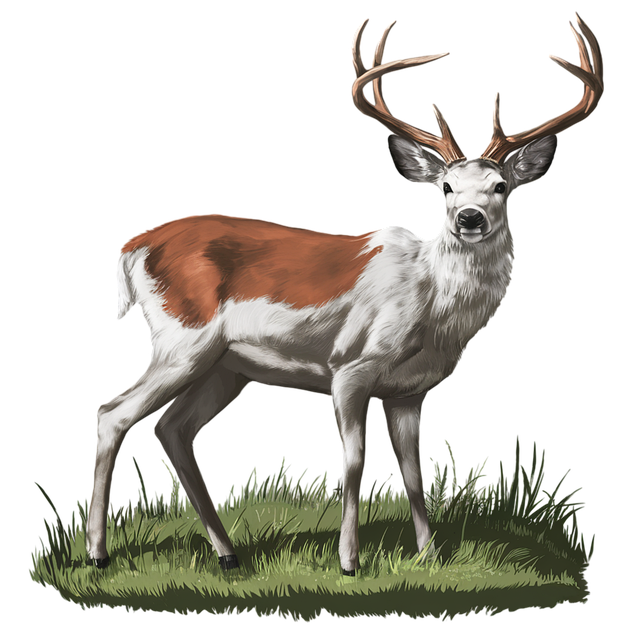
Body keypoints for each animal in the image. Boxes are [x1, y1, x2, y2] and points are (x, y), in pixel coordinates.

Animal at [86, 12, 603, 576]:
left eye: (501, 187)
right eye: (445, 188)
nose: (469, 218)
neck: (432, 307)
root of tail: (134, 247)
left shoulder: (409, 391)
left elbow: (413, 471)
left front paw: (430, 554)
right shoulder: (350, 368)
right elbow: (352, 464)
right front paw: (349, 561)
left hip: (227, 366)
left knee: (174, 429)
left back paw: (228, 555)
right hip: (183, 338)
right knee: (114, 413)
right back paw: (98, 554)